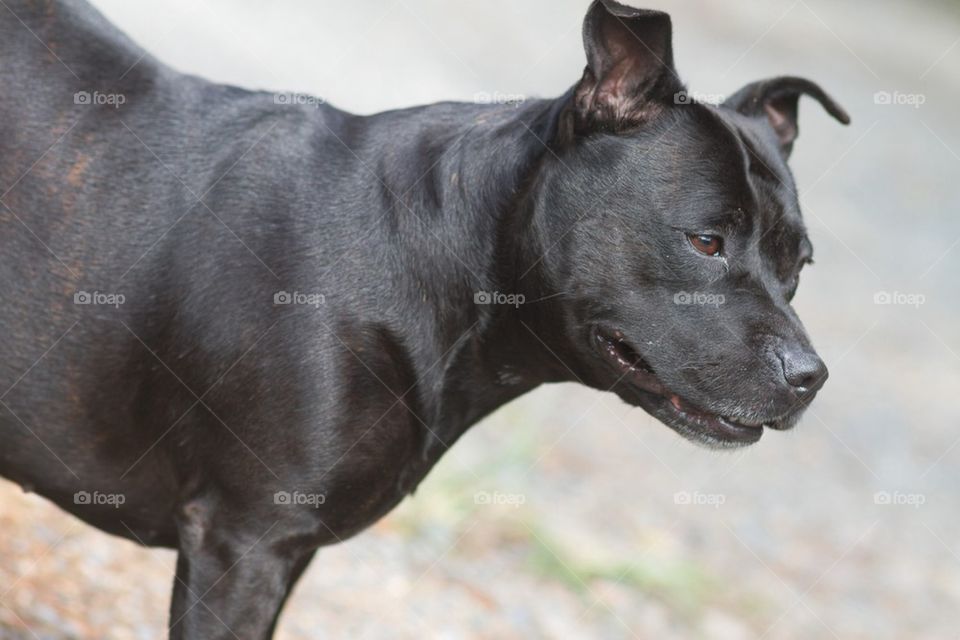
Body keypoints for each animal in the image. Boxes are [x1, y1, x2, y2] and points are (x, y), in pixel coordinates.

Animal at [0, 0, 848, 636]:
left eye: (800, 266)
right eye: (705, 241)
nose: (810, 377)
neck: (441, 261)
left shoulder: (279, 551)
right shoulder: (243, 544)